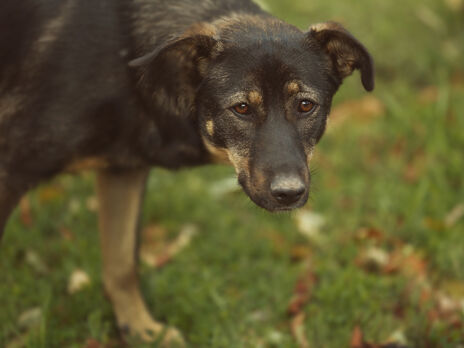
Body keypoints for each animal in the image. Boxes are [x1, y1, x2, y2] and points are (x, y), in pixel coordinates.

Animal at [0, 0, 374, 344]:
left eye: (306, 105)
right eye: (241, 108)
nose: (289, 193)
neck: (127, 59)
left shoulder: (124, 169)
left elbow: (121, 265)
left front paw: (142, 331)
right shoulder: (10, 169)